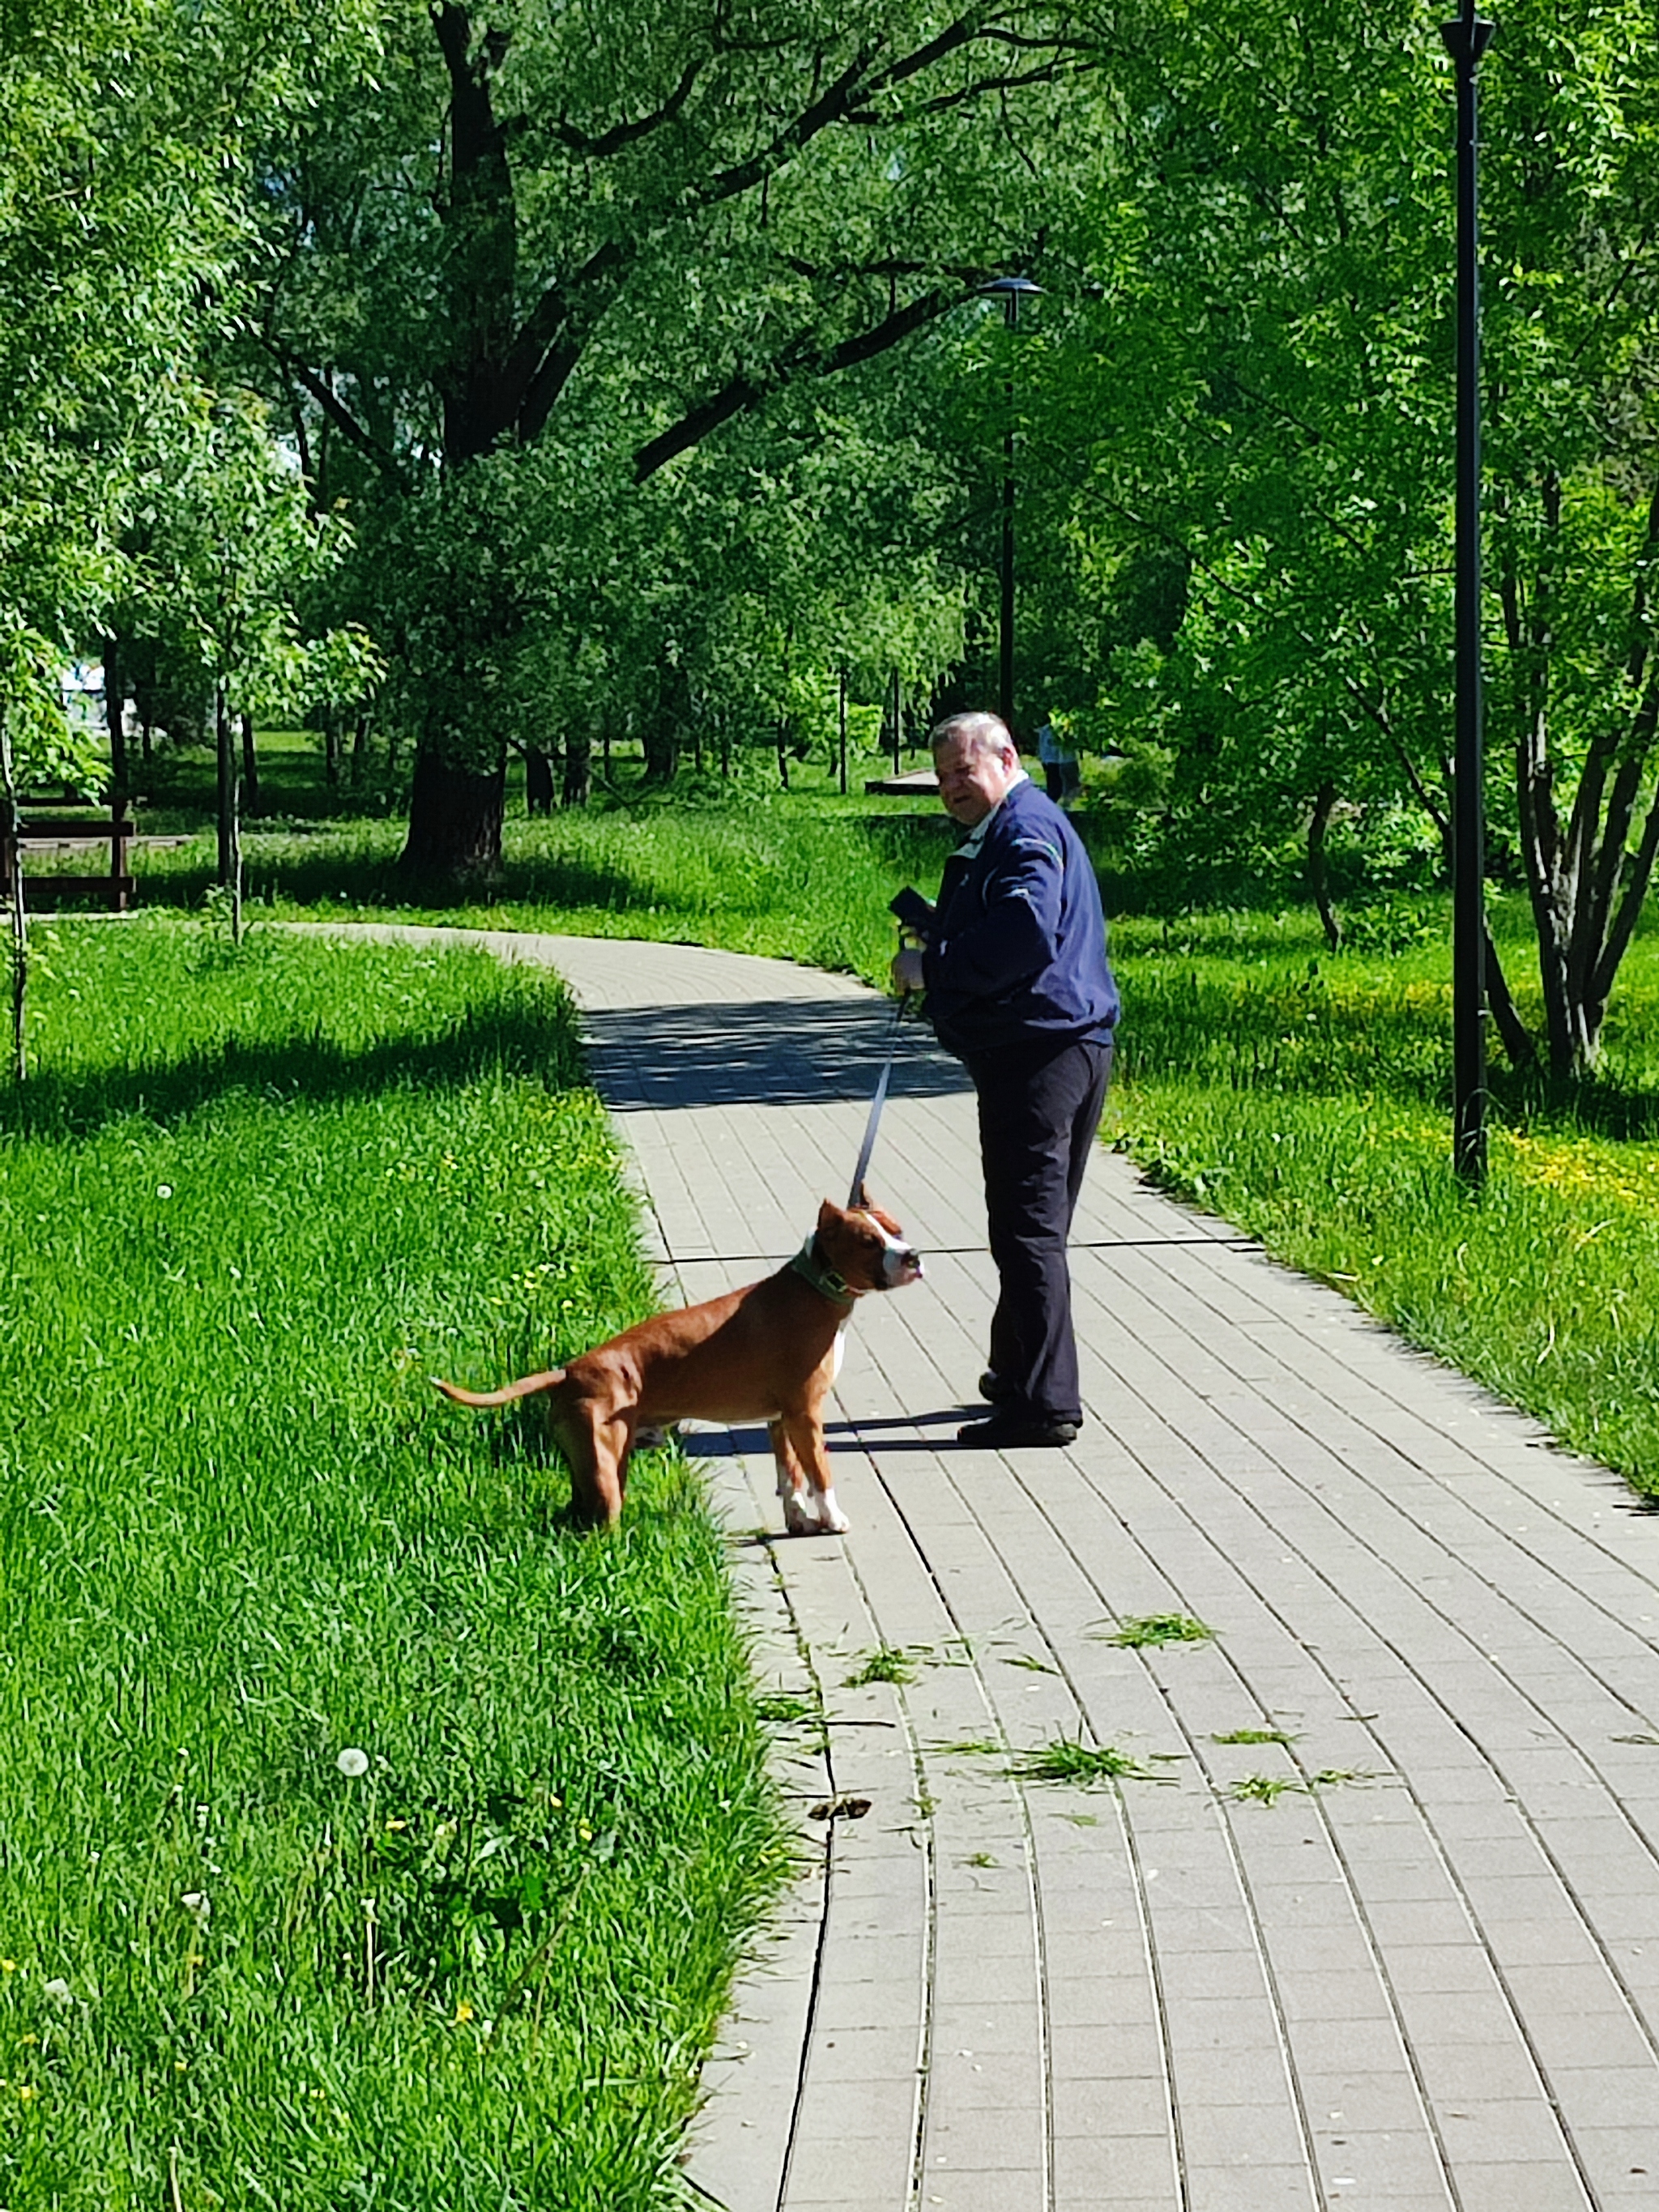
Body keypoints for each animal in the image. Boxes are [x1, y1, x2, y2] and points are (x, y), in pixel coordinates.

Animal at [431, 1194, 924, 1539]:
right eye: (870, 1242)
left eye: (898, 1230)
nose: (913, 1255)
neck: (816, 1285)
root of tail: (569, 1371)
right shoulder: (806, 1415)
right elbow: (821, 1473)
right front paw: (833, 1518)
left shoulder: (781, 1420)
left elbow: (790, 1476)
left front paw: (800, 1519)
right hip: (605, 1464)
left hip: (589, 1465)